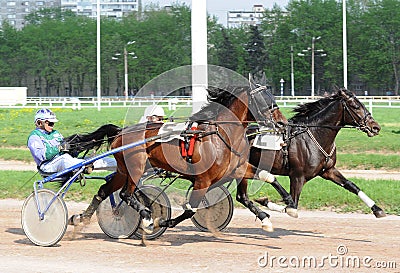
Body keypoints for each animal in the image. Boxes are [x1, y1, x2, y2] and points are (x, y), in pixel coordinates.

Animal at [68, 84, 288, 232]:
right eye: (266, 100)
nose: (283, 123)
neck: (221, 135)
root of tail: (121, 131)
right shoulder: (202, 180)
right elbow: (191, 209)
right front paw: (163, 221)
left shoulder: (238, 169)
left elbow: (266, 179)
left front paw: (283, 207)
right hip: (135, 167)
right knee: (125, 194)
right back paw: (146, 216)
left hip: (123, 170)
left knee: (105, 190)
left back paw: (80, 218)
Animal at [238, 88, 384, 218]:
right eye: (355, 106)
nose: (375, 127)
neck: (315, 135)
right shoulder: (297, 176)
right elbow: (292, 206)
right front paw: (264, 200)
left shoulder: (328, 170)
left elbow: (351, 185)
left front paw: (377, 209)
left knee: (241, 197)